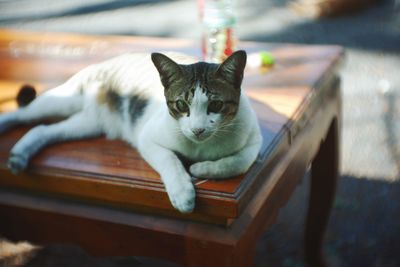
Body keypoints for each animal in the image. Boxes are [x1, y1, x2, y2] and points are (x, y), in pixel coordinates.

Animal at [0, 49, 262, 214]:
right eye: (181, 105)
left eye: (216, 105)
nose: (197, 129)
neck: (200, 147)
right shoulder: (147, 138)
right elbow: (169, 160)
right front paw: (182, 192)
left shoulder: (253, 141)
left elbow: (238, 162)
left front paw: (202, 168)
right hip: (65, 100)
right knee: (24, 114)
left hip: (87, 124)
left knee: (42, 129)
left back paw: (21, 153)